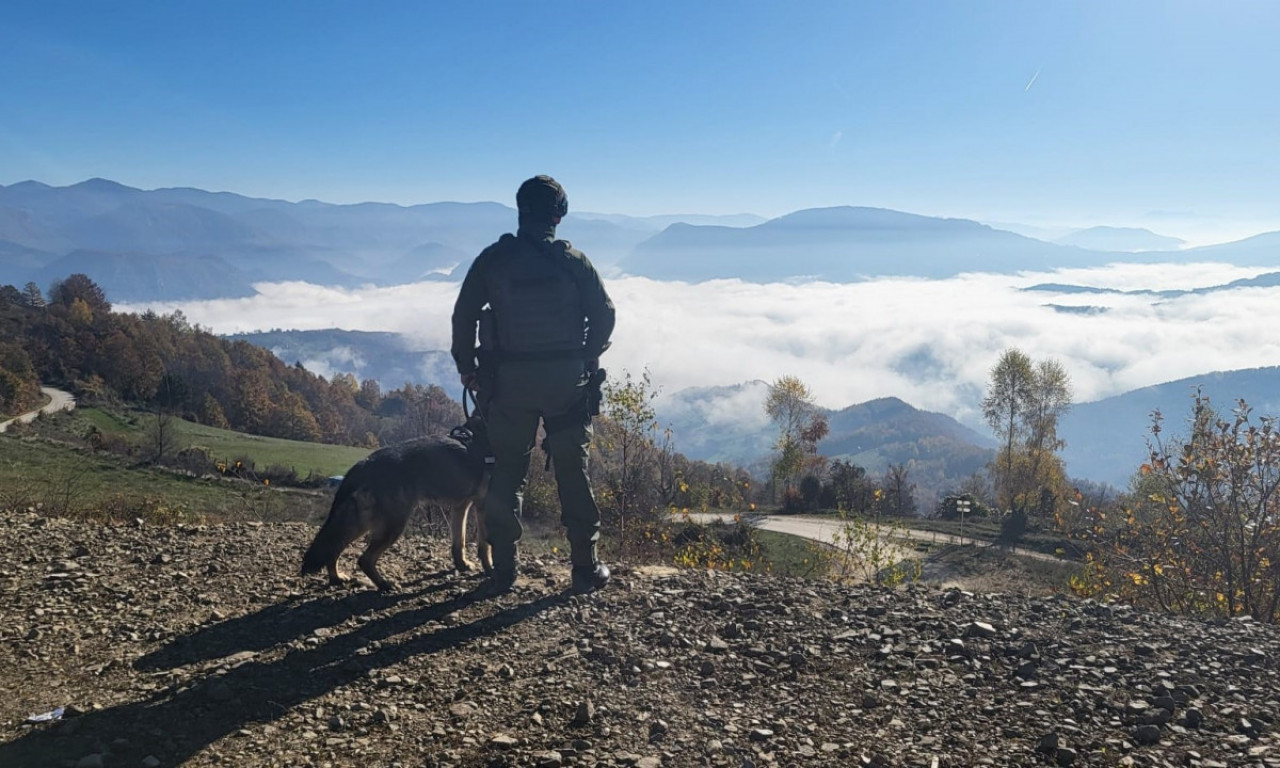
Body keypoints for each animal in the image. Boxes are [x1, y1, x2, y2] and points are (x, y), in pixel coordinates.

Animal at [302, 422, 491, 591]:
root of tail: (364, 464)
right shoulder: (484, 506)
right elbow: (485, 545)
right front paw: (489, 569)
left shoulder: (462, 506)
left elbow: (460, 541)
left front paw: (463, 565)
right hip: (393, 526)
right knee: (364, 559)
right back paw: (385, 584)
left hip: (361, 523)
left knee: (333, 549)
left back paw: (337, 578)